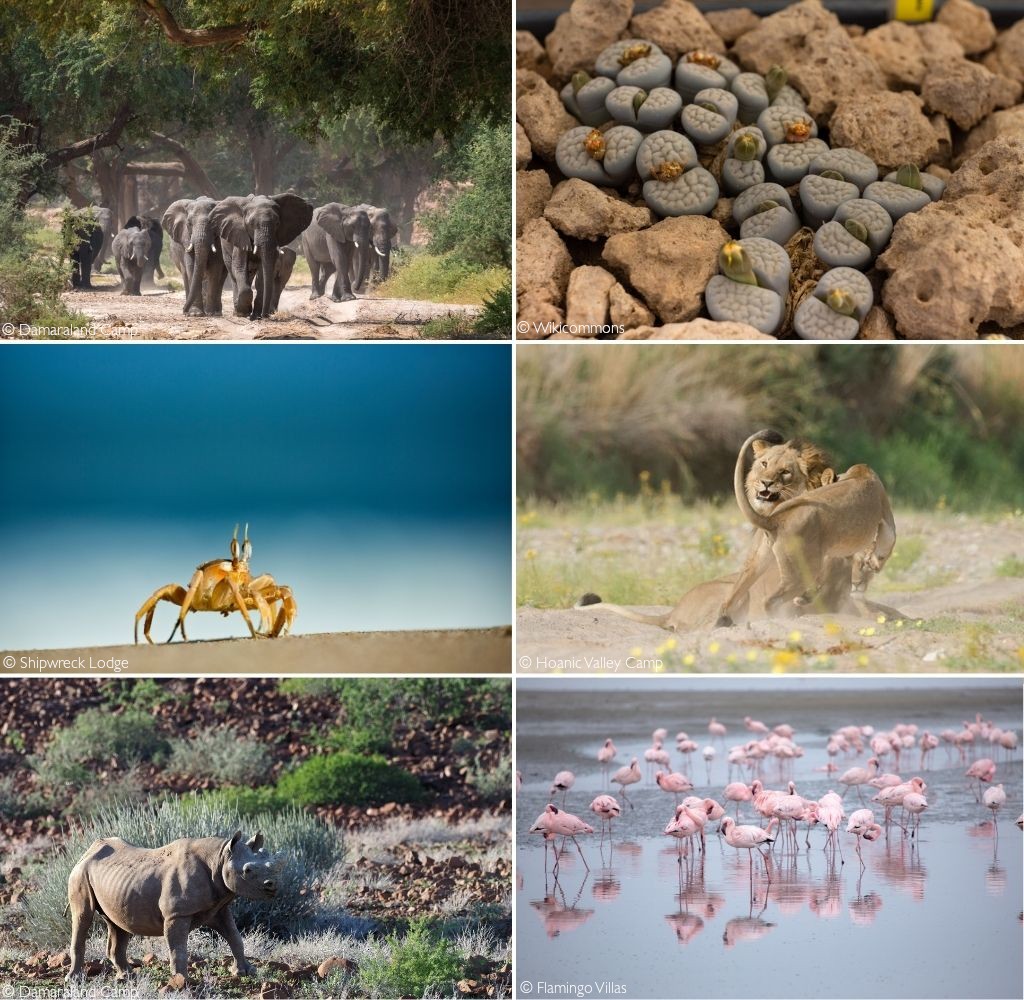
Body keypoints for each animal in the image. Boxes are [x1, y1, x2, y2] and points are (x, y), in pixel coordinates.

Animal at [67, 827, 276, 982]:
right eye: (248, 870)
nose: (273, 885)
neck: (219, 857)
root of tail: (87, 852)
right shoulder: (177, 913)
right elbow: (178, 948)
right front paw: (182, 981)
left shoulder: (218, 907)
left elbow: (234, 937)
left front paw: (246, 972)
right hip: (80, 873)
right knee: (82, 916)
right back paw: (75, 980)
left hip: (115, 883)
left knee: (118, 923)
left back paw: (128, 977)